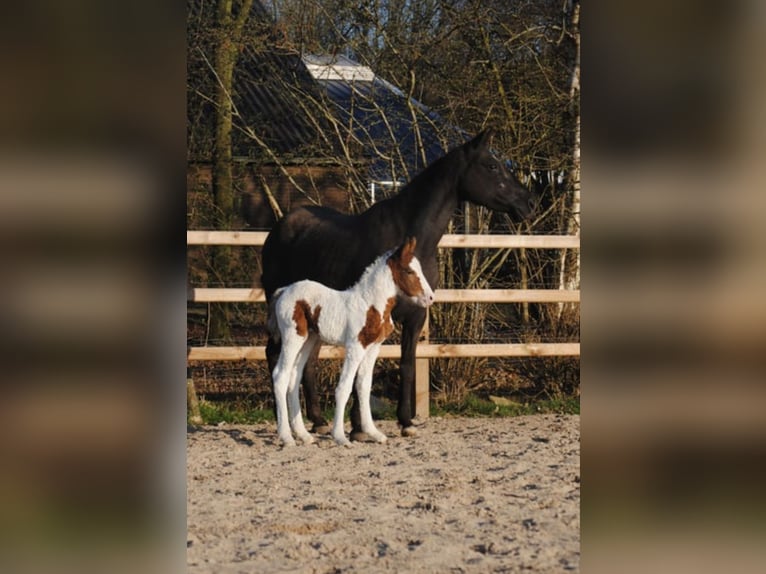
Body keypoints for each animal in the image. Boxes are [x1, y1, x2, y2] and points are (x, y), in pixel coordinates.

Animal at [267, 238, 434, 447]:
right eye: (409, 271)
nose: (430, 298)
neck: (371, 304)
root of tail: (283, 291)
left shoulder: (373, 348)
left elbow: (363, 386)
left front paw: (374, 433)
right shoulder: (356, 347)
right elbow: (344, 388)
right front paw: (340, 436)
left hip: (308, 340)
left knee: (293, 378)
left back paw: (304, 435)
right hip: (292, 337)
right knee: (280, 376)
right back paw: (287, 437)